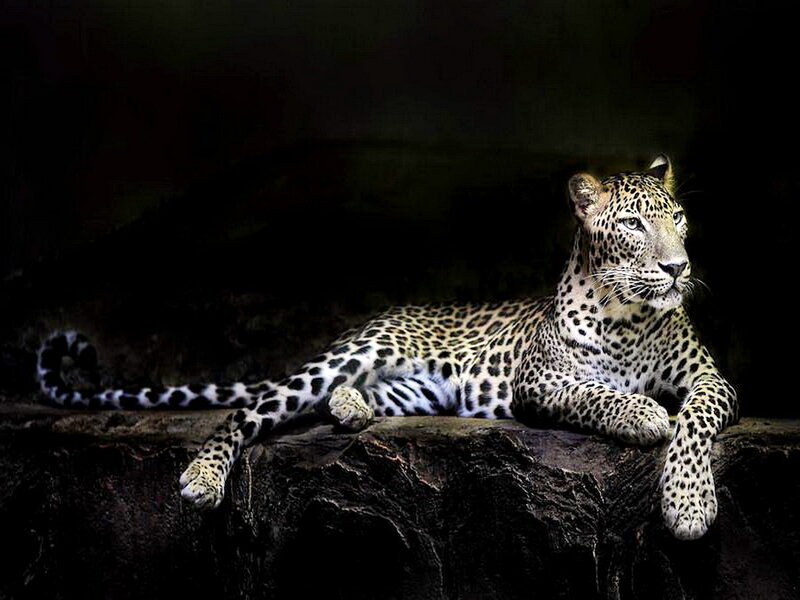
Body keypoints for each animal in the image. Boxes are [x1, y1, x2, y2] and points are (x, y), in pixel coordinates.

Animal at [37, 155, 738, 540]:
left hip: (420, 388)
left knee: (353, 398)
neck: (632, 319)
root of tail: (385, 315)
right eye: (634, 225)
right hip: (345, 358)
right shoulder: (539, 383)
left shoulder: (711, 380)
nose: (678, 267)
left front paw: (688, 504)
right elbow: (598, 395)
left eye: (678, 219)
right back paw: (205, 477)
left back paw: (353, 410)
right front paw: (644, 415)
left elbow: (694, 423)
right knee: (248, 411)